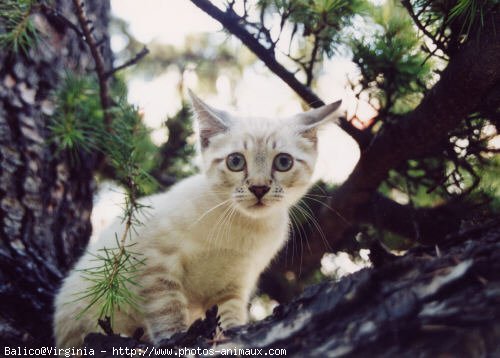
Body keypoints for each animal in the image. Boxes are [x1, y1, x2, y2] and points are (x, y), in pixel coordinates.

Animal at [52, 90, 342, 350]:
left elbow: (230, 317)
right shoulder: (155, 263)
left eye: (283, 162)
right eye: (235, 161)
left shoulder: (235, 285)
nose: (259, 188)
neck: (242, 228)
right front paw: (177, 338)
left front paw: (230, 333)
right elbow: (168, 312)